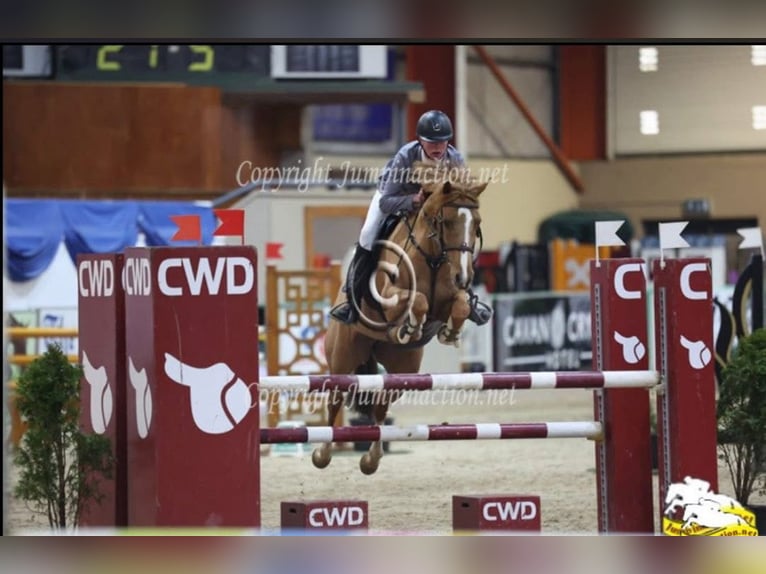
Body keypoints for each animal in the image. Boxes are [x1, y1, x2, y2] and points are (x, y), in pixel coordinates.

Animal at [314, 161, 489, 475]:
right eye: (447, 222)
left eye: (477, 224)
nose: (464, 277)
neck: (433, 257)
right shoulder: (390, 295)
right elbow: (416, 300)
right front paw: (410, 326)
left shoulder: (449, 300)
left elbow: (459, 305)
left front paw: (449, 332)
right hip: (342, 359)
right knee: (335, 400)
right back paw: (322, 453)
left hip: (402, 369)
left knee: (381, 404)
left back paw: (371, 459)